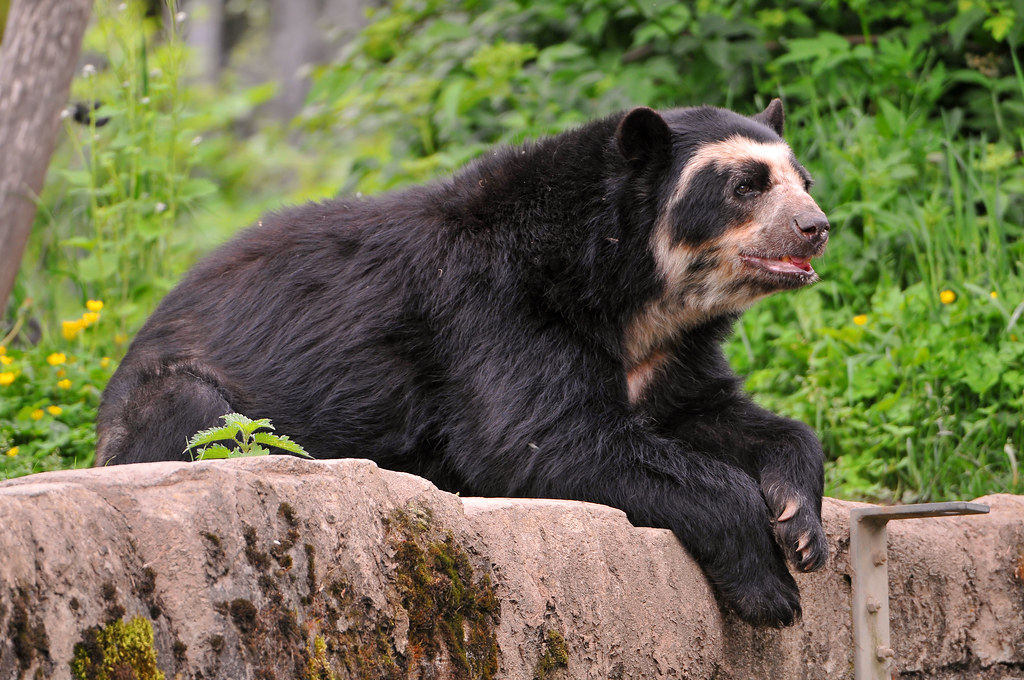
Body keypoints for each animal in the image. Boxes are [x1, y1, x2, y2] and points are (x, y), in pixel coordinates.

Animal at [94, 99, 831, 626]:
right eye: (746, 185)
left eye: (803, 181)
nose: (816, 226)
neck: (633, 293)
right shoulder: (495, 307)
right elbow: (540, 439)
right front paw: (770, 589)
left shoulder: (669, 355)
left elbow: (721, 415)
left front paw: (801, 526)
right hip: (176, 397)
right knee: (194, 417)